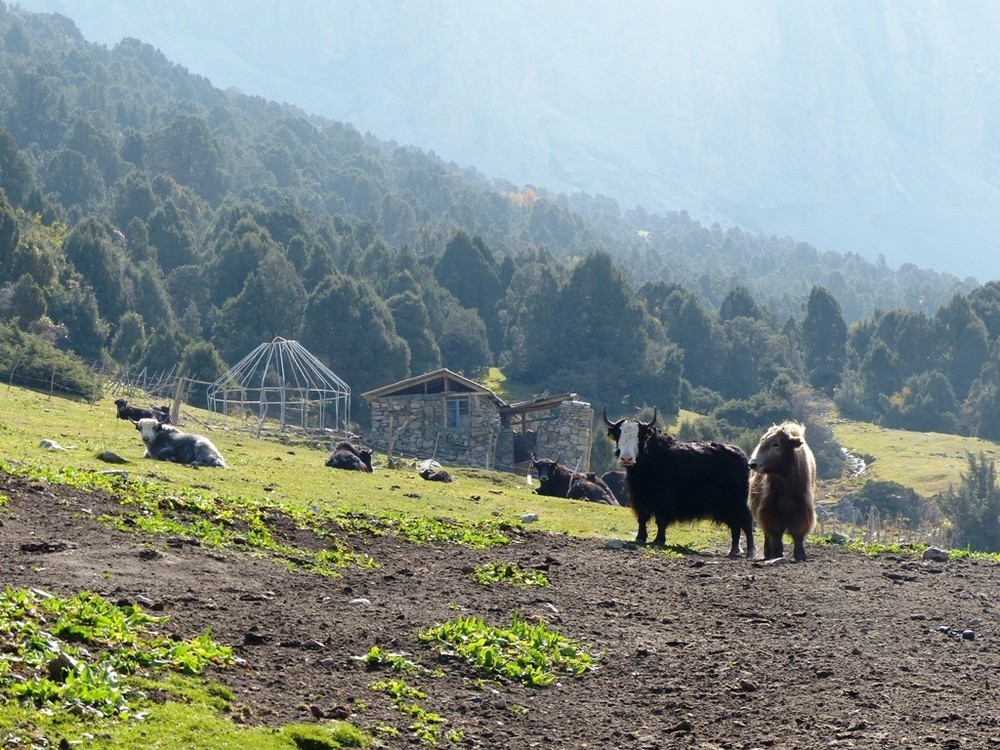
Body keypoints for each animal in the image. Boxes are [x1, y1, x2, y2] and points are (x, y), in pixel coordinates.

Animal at [603, 408, 755, 557]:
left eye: (640, 436)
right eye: (618, 434)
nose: (626, 459)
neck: (652, 459)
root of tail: (743, 458)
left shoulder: (664, 498)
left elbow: (660, 520)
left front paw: (659, 541)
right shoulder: (640, 496)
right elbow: (642, 517)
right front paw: (640, 538)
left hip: (740, 502)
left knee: (746, 523)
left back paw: (750, 552)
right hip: (728, 506)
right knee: (735, 525)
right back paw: (733, 551)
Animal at [748, 421, 817, 562]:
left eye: (776, 444)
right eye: (762, 441)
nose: (752, 464)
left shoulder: (802, 508)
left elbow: (798, 532)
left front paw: (801, 555)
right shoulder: (770, 508)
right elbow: (775, 531)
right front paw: (777, 553)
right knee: (767, 534)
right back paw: (768, 552)